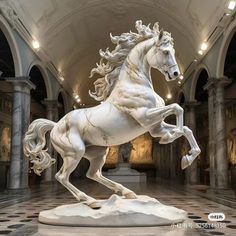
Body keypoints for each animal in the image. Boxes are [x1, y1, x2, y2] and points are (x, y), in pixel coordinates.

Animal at [24, 20, 200, 208]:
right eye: (166, 51)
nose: (175, 74)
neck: (134, 84)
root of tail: (56, 125)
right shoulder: (145, 117)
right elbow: (177, 108)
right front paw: (171, 138)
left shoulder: (154, 127)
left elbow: (187, 128)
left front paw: (187, 158)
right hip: (74, 152)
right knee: (62, 176)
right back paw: (90, 200)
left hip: (97, 152)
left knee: (93, 174)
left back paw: (127, 193)